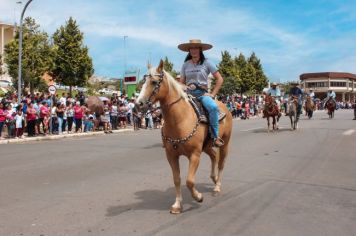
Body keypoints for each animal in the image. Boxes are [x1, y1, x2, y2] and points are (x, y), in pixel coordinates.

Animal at [136, 60, 234, 214]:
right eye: (142, 81)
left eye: (154, 82)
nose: (139, 104)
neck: (180, 119)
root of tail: (224, 107)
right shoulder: (171, 155)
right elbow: (177, 179)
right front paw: (177, 205)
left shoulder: (194, 154)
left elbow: (189, 181)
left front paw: (198, 197)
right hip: (206, 146)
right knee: (214, 156)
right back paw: (214, 178)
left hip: (225, 143)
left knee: (221, 162)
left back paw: (217, 186)